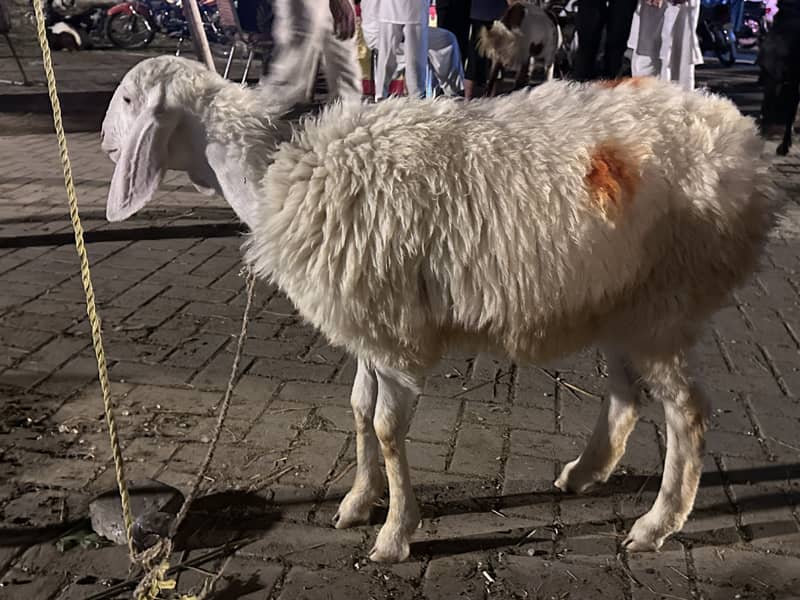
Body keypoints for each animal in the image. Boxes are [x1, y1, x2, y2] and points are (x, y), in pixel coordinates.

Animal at [101, 56, 781, 564]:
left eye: (129, 100)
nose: (106, 144)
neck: (276, 176)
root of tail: (743, 139)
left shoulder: (396, 335)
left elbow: (385, 428)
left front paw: (395, 534)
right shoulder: (369, 326)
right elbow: (358, 409)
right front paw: (358, 503)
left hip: (668, 300)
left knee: (686, 411)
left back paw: (656, 524)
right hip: (624, 298)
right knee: (626, 393)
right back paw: (586, 473)